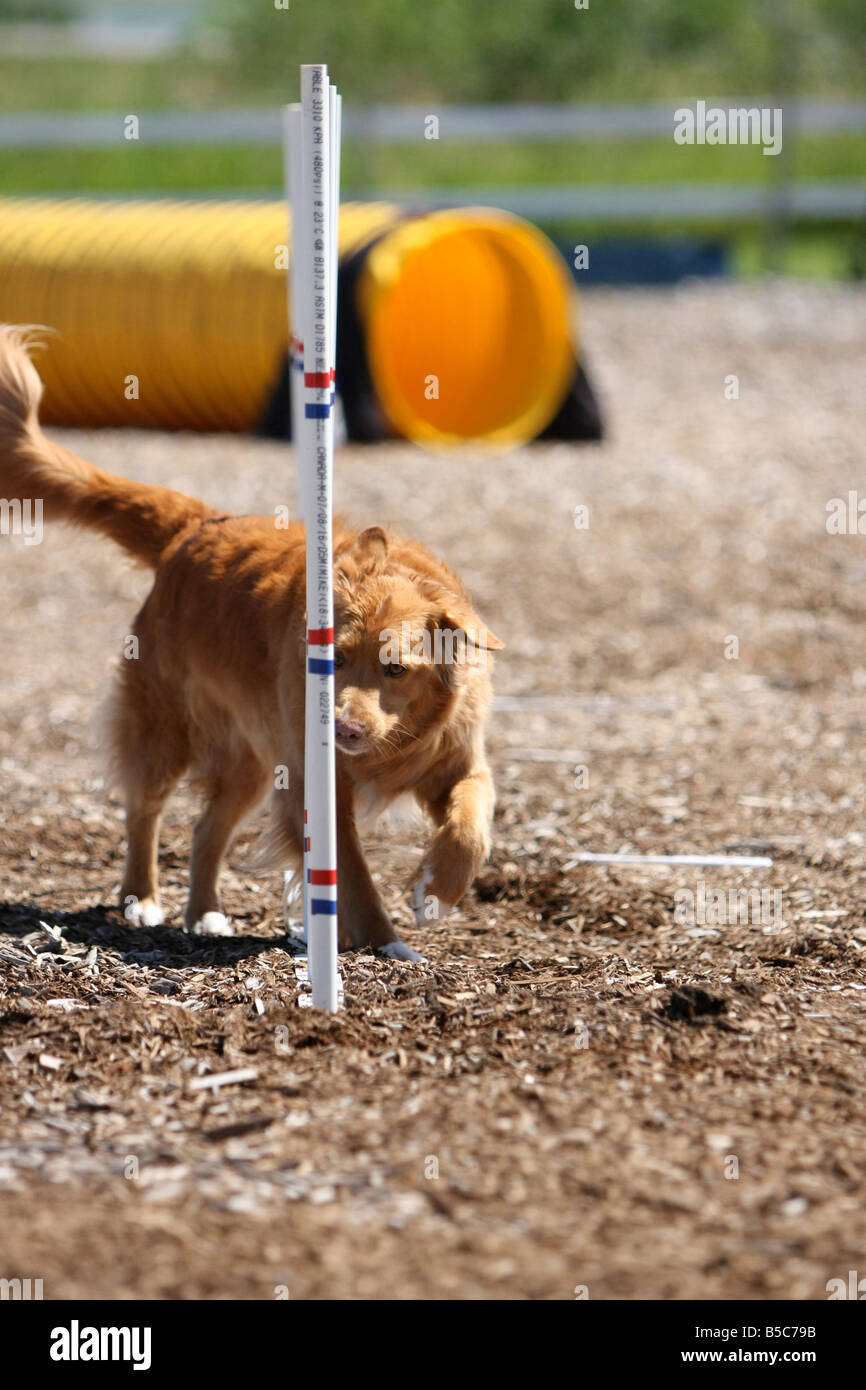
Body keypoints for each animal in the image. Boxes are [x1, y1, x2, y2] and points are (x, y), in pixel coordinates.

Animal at [0, 326, 505, 961]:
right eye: (334, 659)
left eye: (396, 669)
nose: (346, 730)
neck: (390, 747)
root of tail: (200, 524)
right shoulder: (317, 784)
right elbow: (353, 876)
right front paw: (386, 945)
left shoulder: (454, 759)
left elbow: (472, 819)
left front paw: (436, 891)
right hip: (167, 728)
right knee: (144, 809)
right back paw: (143, 899)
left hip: (251, 762)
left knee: (205, 829)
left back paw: (206, 914)